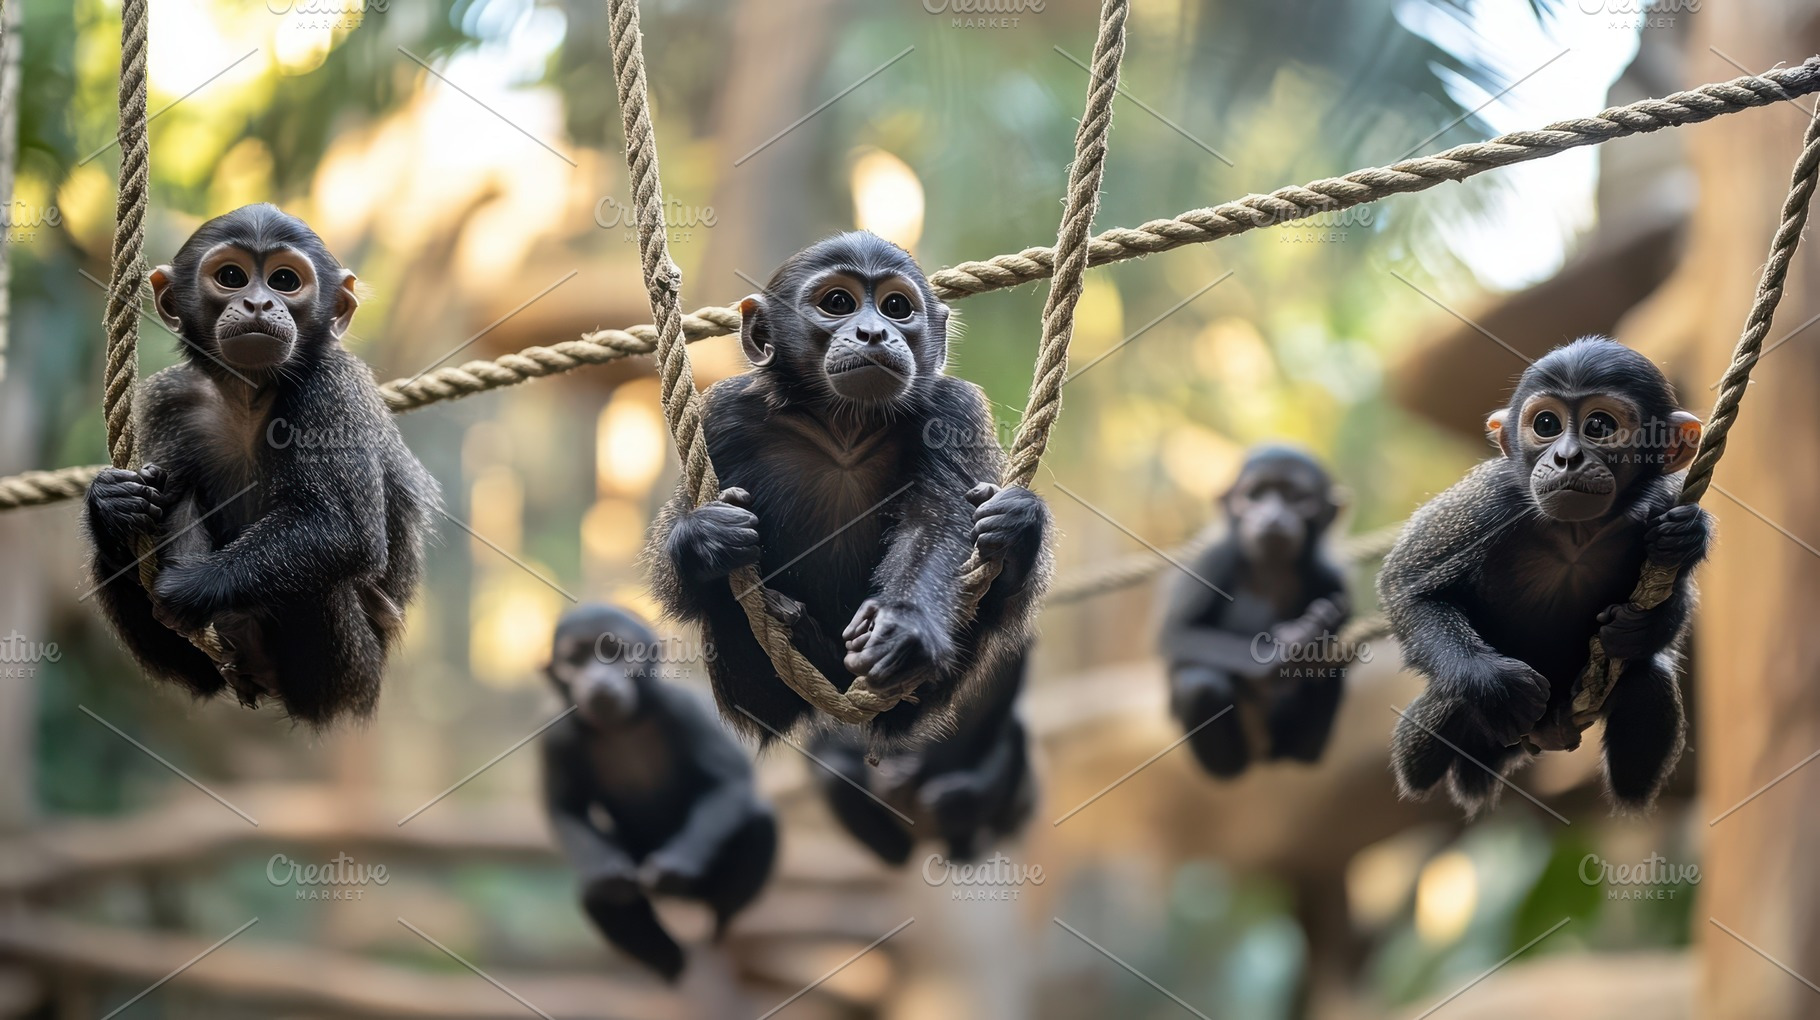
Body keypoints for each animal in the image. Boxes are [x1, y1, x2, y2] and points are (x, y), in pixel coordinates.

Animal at [80, 204, 438, 725]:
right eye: (231, 277)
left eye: (284, 280)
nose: (258, 304)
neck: (249, 396)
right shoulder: (170, 398)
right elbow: (159, 490)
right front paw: (110, 503)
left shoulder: (331, 386)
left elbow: (346, 532)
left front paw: (189, 587)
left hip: (350, 676)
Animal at [539, 604, 777, 982]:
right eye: (574, 660)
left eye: (614, 653)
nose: (598, 680)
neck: (622, 727)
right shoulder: (557, 735)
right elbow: (565, 808)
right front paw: (611, 876)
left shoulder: (682, 708)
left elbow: (729, 782)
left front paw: (674, 868)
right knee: (596, 893)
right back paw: (670, 967)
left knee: (759, 822)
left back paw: (717, 928)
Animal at [647, 231, 1052, 745]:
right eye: (838, 303)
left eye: (896, 307)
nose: (874, 332)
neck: (844, 429)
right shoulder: (722, 414)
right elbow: (672, 573)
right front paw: (705, 538)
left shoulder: (953, 409)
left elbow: (937, 522)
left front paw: (902, 626)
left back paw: (1015, 527)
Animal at [1157, 446, 1352, 779]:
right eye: (1255, 495)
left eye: (1296, 498)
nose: (1272, 515)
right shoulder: (1215, 558)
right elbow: (1177, 634)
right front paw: (1282, 654)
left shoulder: (1331, 578)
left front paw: (1312, 638)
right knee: (1199, 684)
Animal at [1379, 337, 1711, 814]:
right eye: (1547, 424)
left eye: (1599, 426)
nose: (1567, 457)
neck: (1574, 535)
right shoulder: (1488, 499)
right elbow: (1406, 587)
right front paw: (1491, 682)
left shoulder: (1660, 501)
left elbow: (1677, 599)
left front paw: (1646, 614)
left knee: (1650, 681)